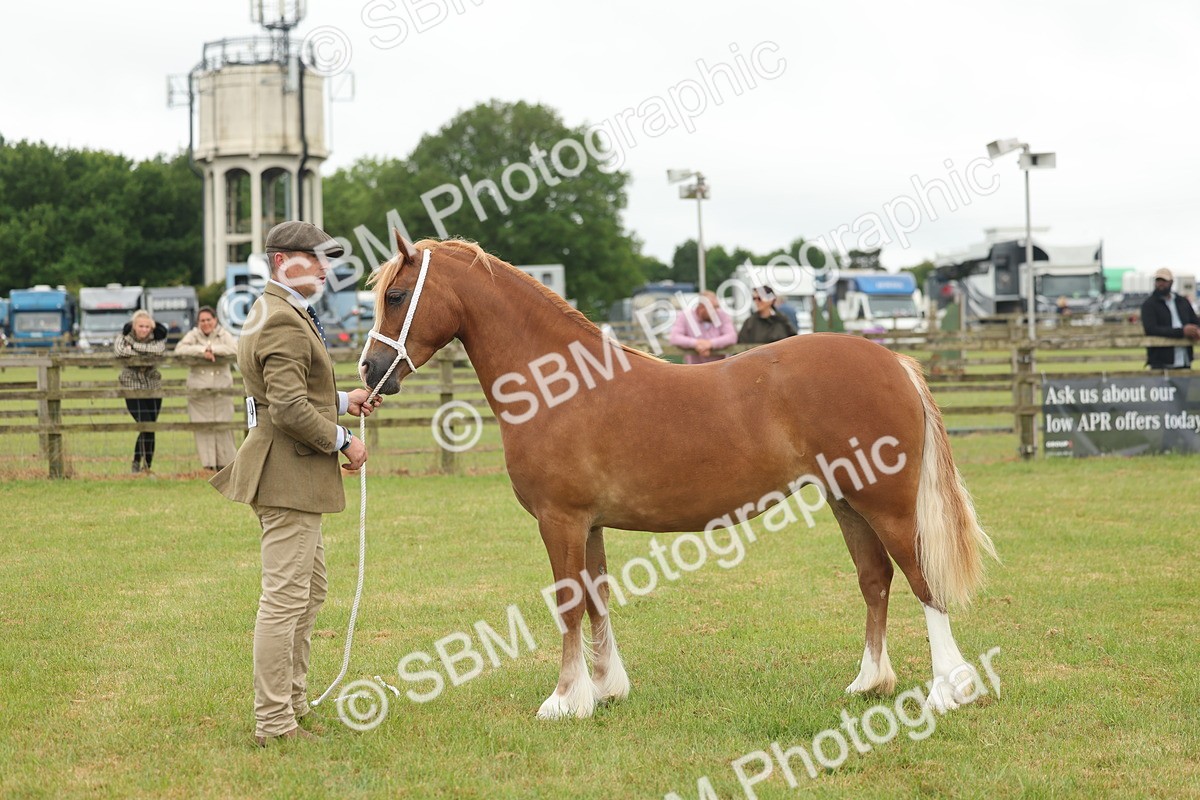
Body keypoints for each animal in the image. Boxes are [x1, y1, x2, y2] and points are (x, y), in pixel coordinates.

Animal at [360, 235, 998, 719]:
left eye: (396, 295)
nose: (369, 370)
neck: (558, 383)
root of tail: (894, 361)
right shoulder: (589, 525)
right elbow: (597, 599)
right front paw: (605, 689)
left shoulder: (560, 520)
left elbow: (568, 604)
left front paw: (564, 700)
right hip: (847, 501)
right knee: (875, 580)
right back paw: (870, 682)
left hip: (885, 503)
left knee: (921, 580)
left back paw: (949, 689)